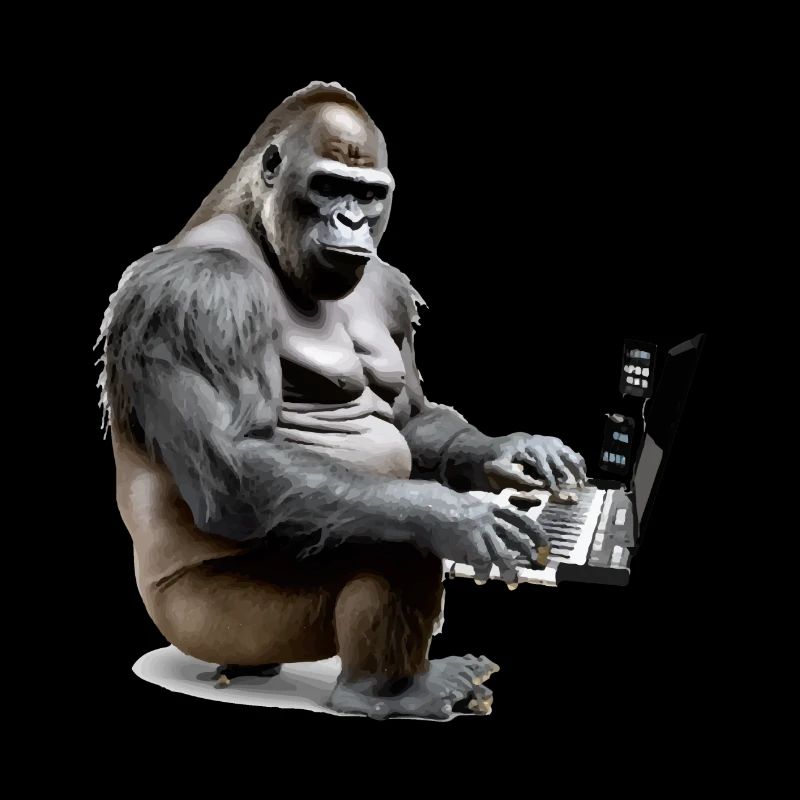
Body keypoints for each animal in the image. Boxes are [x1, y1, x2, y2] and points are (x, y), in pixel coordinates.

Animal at [98, 82, 588, 720]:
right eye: (328, 186)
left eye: (369, 193)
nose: (351, 220)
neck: (260, 229)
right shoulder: (198, 294)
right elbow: (234, 460)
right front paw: (458, 515)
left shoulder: (386, 285)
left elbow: (411, 418)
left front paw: (514, 453)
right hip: (209, 620)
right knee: (396, 529)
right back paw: (388, 690)